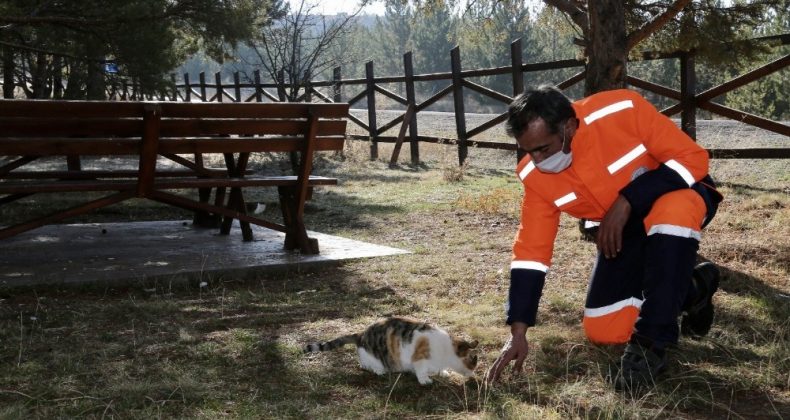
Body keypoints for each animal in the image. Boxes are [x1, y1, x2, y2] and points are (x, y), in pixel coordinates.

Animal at [302, 316, 476, 386]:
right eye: (473, 360)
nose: (473, 374)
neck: (446, 350)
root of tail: (361, 334)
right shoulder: (419, 358)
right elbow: (421, 371)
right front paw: (425, 380)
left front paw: (443, 372)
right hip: (373, 356)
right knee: (364, 364)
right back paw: (380, 370)